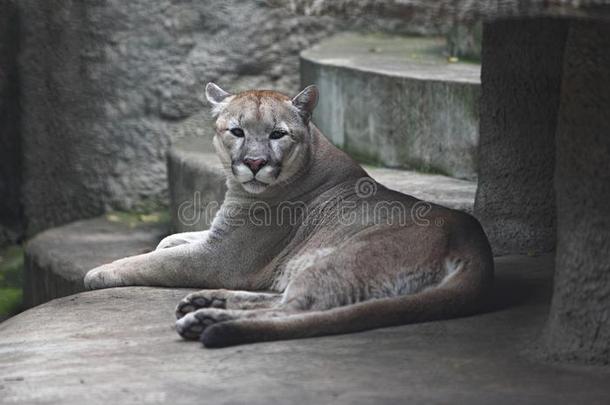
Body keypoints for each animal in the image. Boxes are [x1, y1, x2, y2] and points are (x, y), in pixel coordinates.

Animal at [84, 83, 494, 348]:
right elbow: (172, 240)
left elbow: (153, 262)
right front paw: (164, 244)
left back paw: (210, 321)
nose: (254, 163)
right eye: (237, 131)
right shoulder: (218, 236)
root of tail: (476, 244)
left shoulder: (221, 257)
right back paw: (206, 307)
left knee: (294, 309)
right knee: (282, 302)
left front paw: (98, 272)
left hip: (344, 258)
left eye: (278, 134)